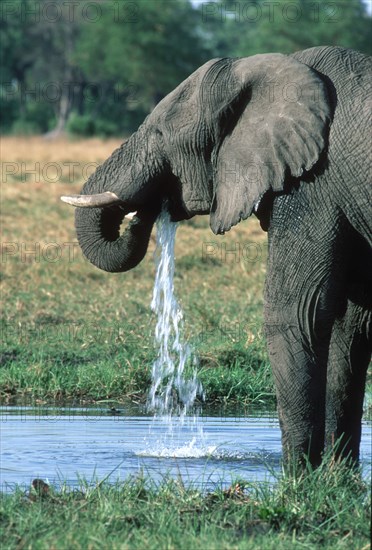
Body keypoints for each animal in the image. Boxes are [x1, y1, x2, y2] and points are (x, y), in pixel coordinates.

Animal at [61, 46, 372, 470]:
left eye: (160, 135)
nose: (150, 207)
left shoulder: (311, 185)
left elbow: (297, 313)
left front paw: (298, 475)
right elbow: (350, 327)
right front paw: (336, 475)